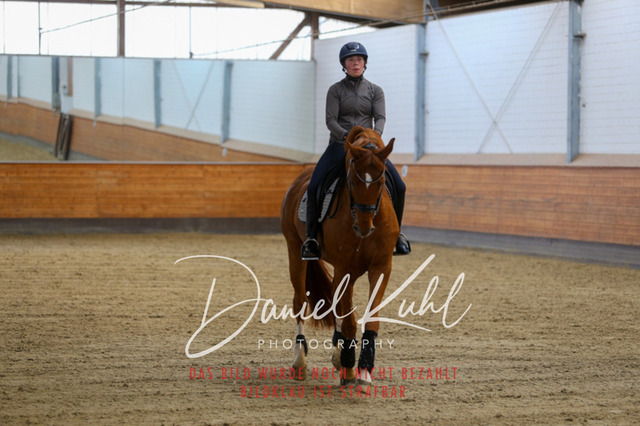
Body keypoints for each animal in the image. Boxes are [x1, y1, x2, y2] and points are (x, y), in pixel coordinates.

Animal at [280, 126, 399, 387]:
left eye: (381, 180)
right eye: (352, 180)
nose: (364, 227)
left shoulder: (381, 266)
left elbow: (369, 318)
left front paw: (363, 369)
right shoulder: (346, 268)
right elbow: (350, 321)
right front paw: (349, 368)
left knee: (334, 302)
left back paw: (337, 353)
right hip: (295, 250)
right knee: (299, 302)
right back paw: (300, 361)